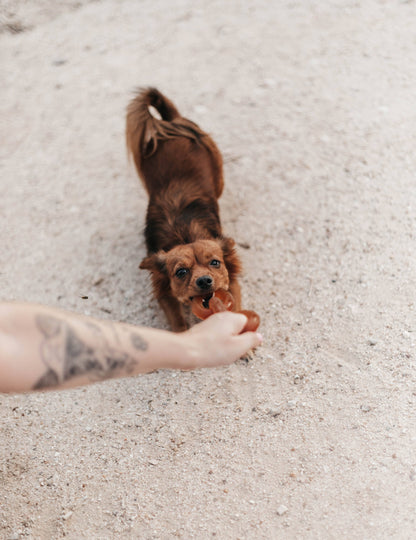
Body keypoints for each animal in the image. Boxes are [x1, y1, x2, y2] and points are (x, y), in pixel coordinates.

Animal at [126, 88, 240, 332]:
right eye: (180, 272)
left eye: (215, 263)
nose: (205, 280)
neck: (185, 235)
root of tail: (171, 122)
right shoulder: (164, 293)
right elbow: (178, 320)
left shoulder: (233, 282)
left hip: (219, 178)